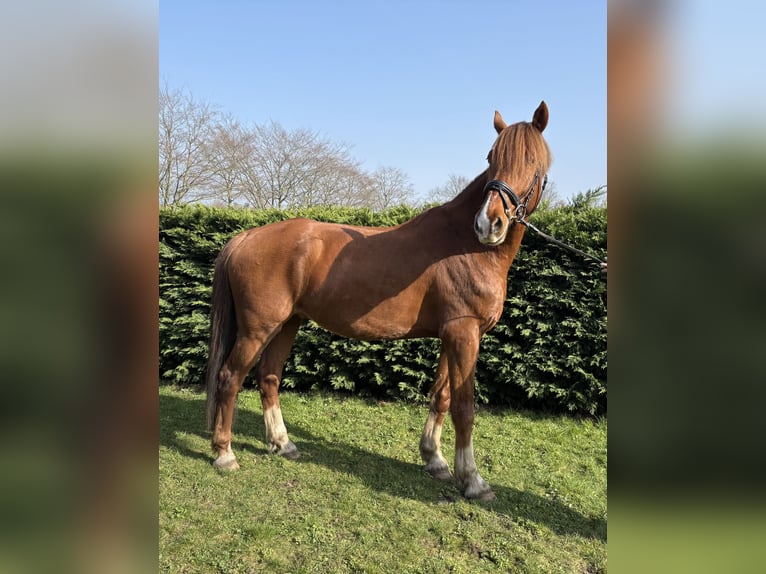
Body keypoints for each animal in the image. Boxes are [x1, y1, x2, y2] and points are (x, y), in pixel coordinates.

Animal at [206, 102, 552, 500]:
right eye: (491, 157)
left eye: (530, 159)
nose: (489, 223)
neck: (464, 245)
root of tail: (245, 237)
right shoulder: (464, 333)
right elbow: (464, 406)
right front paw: (473, 480)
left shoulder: (453, 335)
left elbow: (441, 396)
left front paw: (435, 460)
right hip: (257, 329)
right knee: (230, 377)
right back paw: (224, 454)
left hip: (286, 324)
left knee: (269, 378)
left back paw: (283, 444)